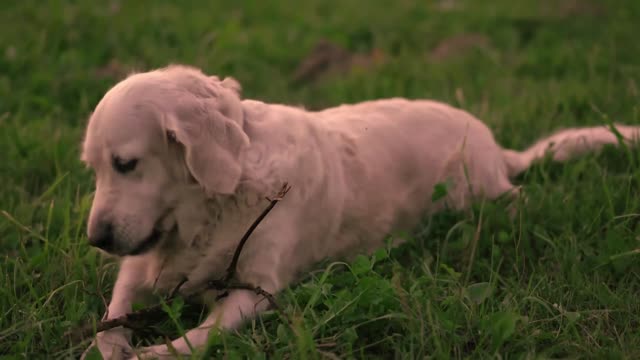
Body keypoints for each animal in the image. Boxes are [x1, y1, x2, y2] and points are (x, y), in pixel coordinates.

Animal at [82, 64, 636, 358]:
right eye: (94, 168)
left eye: (126, 164)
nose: (96, 240)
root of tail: (494, 145)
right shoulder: (139, 266)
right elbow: (112, 316)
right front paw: (111, 345)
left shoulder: (258, 289)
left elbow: (200, 335)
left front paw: (153, 351)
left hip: (480, 196)